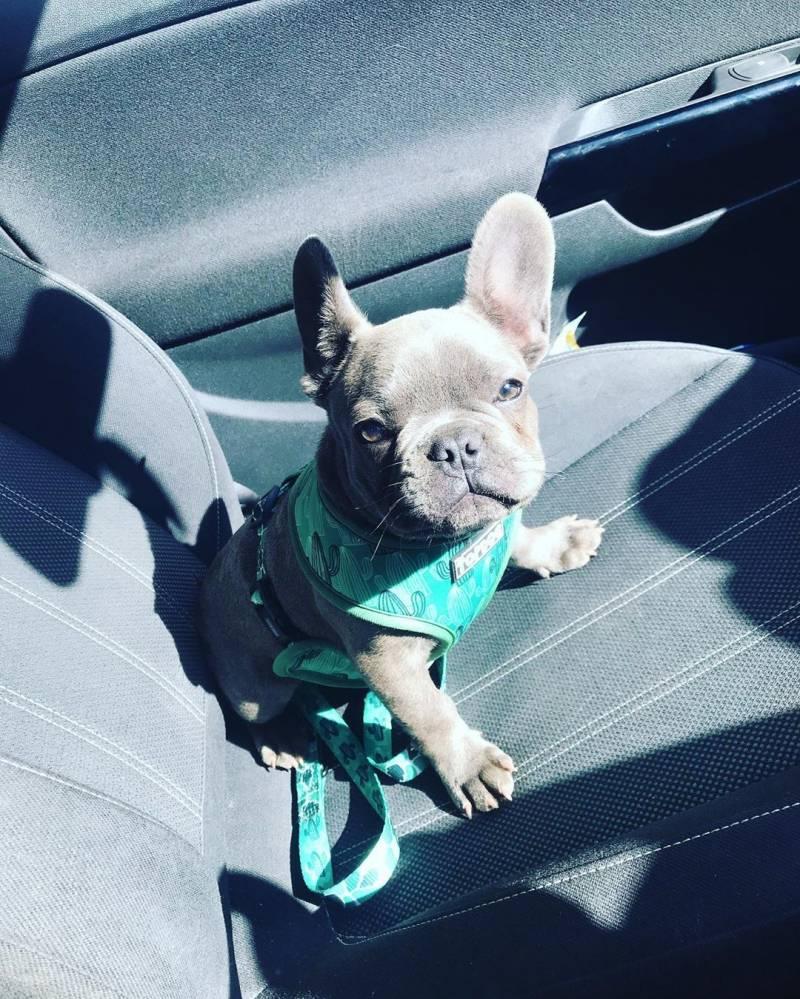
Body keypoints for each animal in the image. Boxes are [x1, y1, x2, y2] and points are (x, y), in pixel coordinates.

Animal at [200, 192, 602, 817]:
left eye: (510, 389)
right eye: (370, 431)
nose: (455, 446)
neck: (446, 549)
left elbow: (517, 532)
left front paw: (555, 542)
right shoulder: (386, 664)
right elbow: (432, 714)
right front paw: (468, 765)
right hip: (253, 685)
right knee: (254, 710)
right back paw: (281, 738)